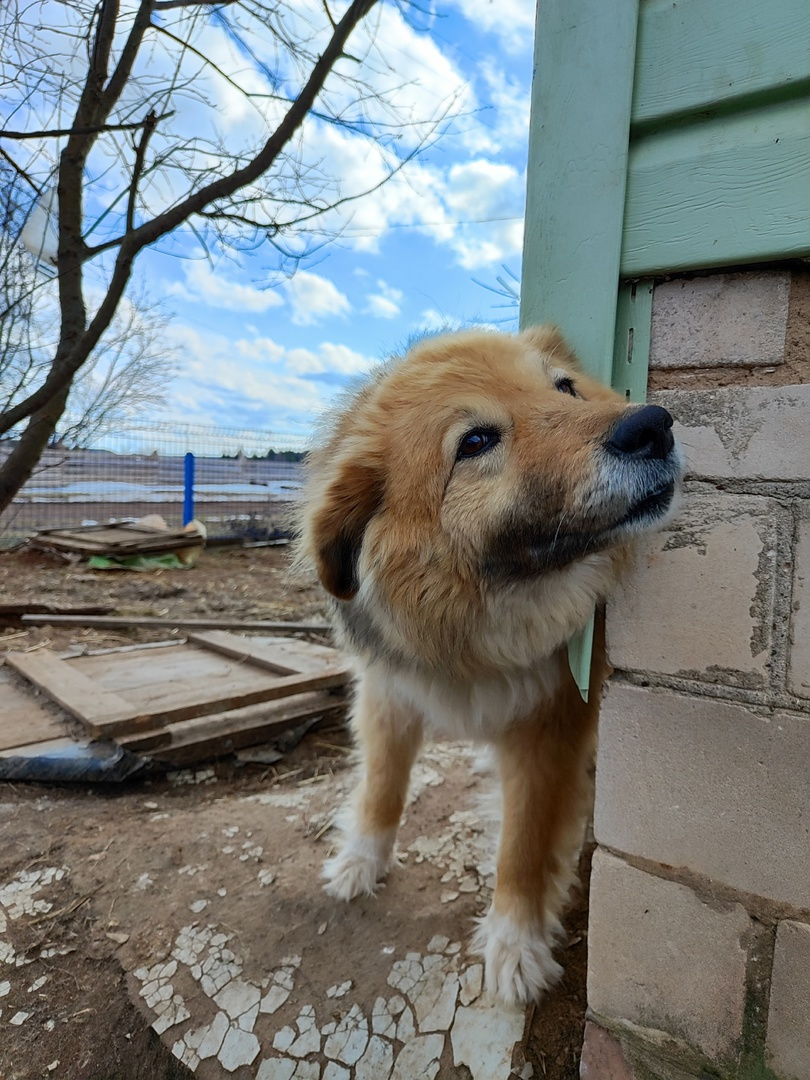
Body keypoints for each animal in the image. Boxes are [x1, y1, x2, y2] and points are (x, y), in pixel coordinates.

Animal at [295, 326, 682, 1002]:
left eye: (565, 387)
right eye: (475, 441)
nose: (653, 425)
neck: (474, 628)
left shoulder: (549, 727)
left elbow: (523, 846)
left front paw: (515, 943)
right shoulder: (391, 692)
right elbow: (382, 784)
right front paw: (361, 861)